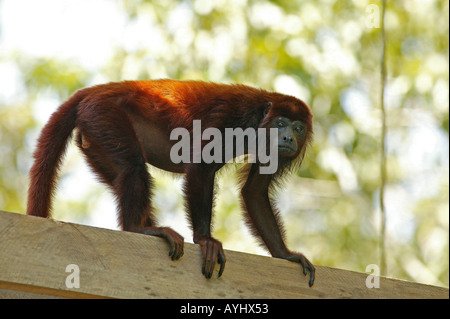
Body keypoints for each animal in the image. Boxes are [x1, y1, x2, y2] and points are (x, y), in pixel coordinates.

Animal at [27, 79, 316, 288]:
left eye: (298, 128)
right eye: (280, 124)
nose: (288, 138)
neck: (258, 119)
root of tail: (97, 90)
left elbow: (254, 191)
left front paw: (285, 254)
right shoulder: (229, 120)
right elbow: (200, 168)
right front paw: (205, 240)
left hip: (95, 140)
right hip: (104, 115)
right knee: (133, 166)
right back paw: (138, 228)